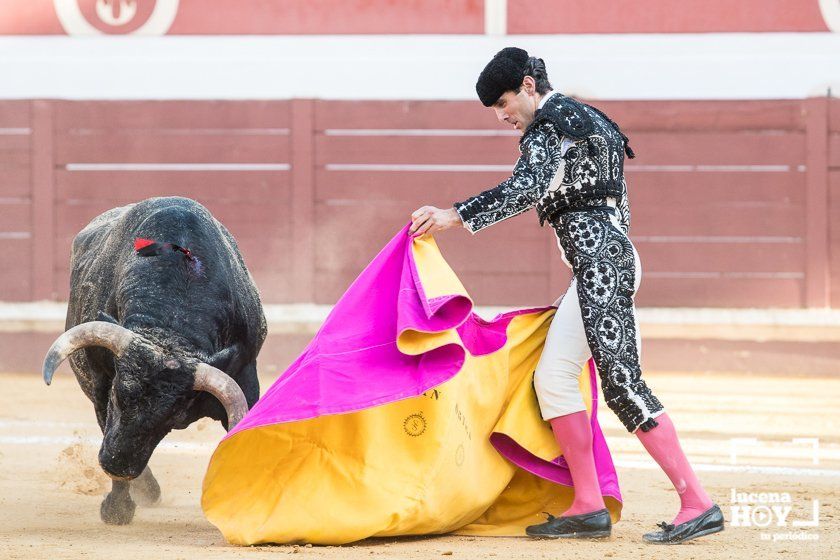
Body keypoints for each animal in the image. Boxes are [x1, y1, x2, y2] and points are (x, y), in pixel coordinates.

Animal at [41, 197, 266, 524]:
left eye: (173, 417)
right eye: (117, 396)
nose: (117, 466)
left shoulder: (245, 382)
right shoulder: (101, 387)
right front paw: (117, 510)